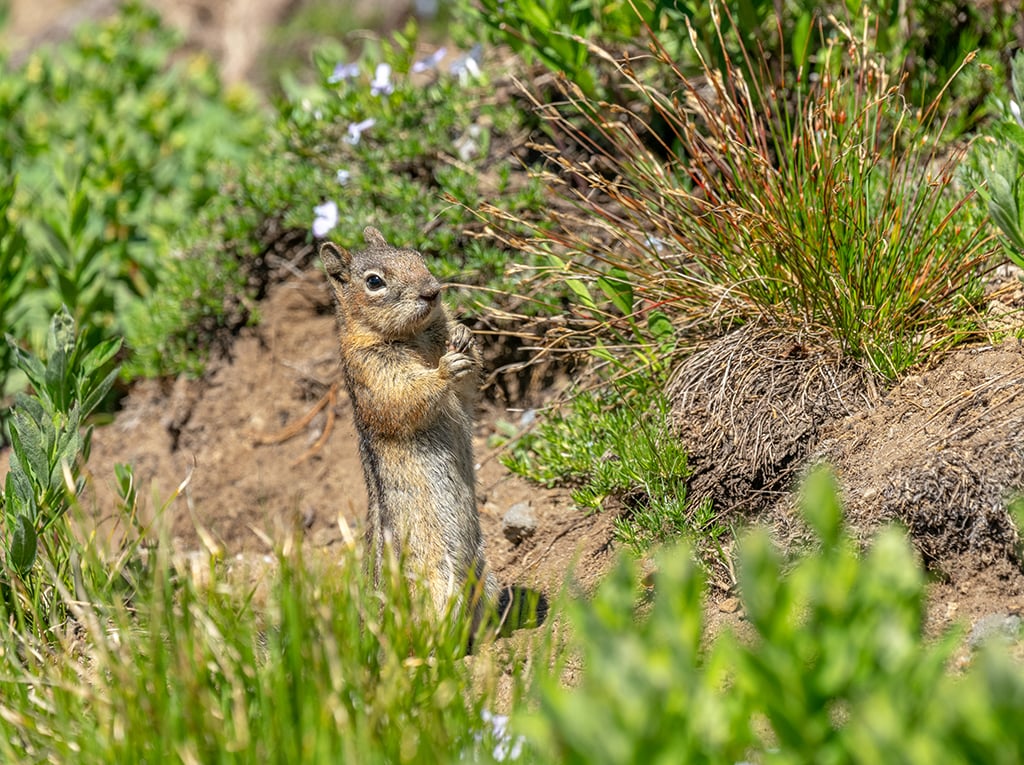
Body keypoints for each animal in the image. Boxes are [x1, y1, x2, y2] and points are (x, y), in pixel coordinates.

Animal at [320, 226, 498, 627]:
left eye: (418, 256)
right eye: (374, 282)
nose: (433, 290)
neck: (414, 336)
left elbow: (467, 387)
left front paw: (464, 336)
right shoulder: (373, 373)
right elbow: (407, 395)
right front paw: (445, 370)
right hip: (435, 587)